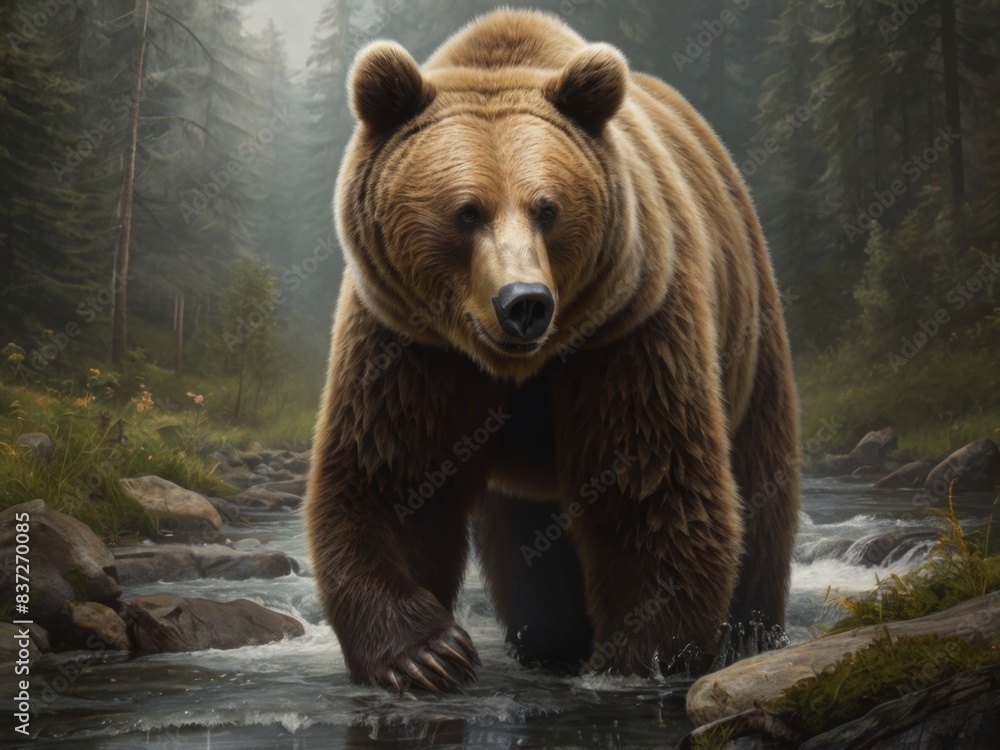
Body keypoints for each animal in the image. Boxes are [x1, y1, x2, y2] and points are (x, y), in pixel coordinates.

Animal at [306, 9, 800, 694]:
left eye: (547, 208)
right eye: (467, 211)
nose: (524, 301)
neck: (519, 366)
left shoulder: (629, 329)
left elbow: (651, 488)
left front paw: (637, 658)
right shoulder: (408, 343)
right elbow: (390, 478)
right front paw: (428, 654)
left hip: (750, 332)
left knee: (760, 481)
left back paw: (751, 633)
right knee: (531, 546)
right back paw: (548, 639)